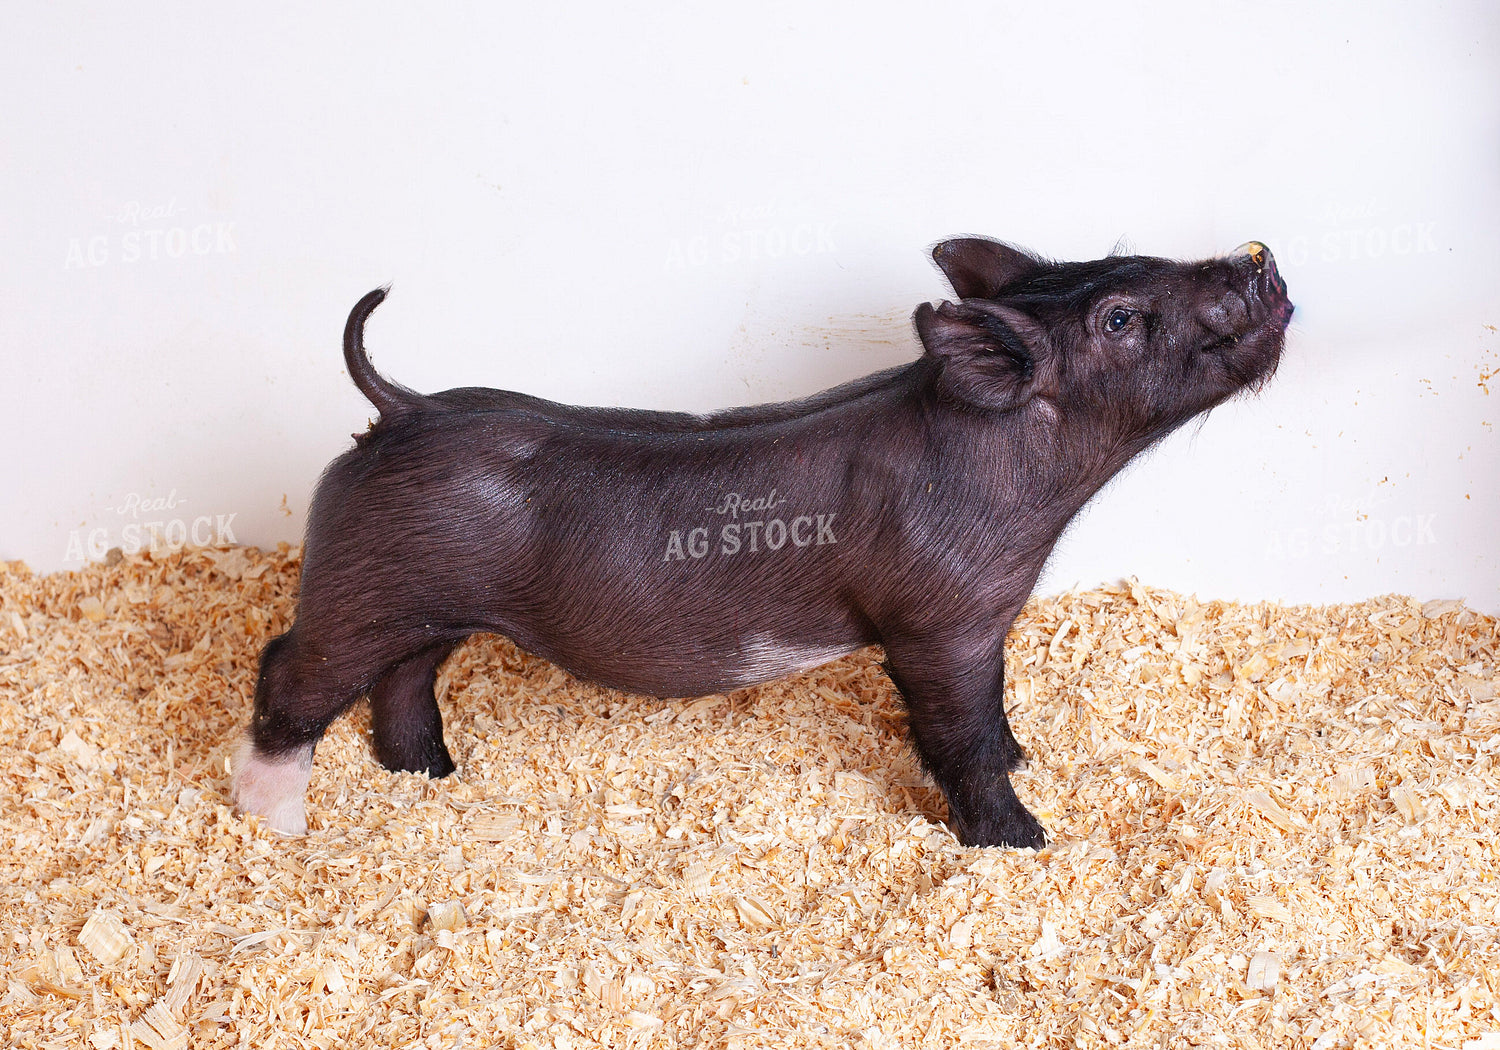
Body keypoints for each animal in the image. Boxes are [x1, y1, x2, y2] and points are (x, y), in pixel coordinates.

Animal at [231, 237, 1292, 848]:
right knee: (288, 672)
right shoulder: (936, 624)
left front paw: (1026, 759)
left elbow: (992, 719)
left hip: (422, 601)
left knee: (402, 678)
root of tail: (402, 409)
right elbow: (958, 736)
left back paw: (432, 777)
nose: (1257, 256)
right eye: (1119, 319)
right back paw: (275, 826)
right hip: (354, 590)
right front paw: (1022, 841)